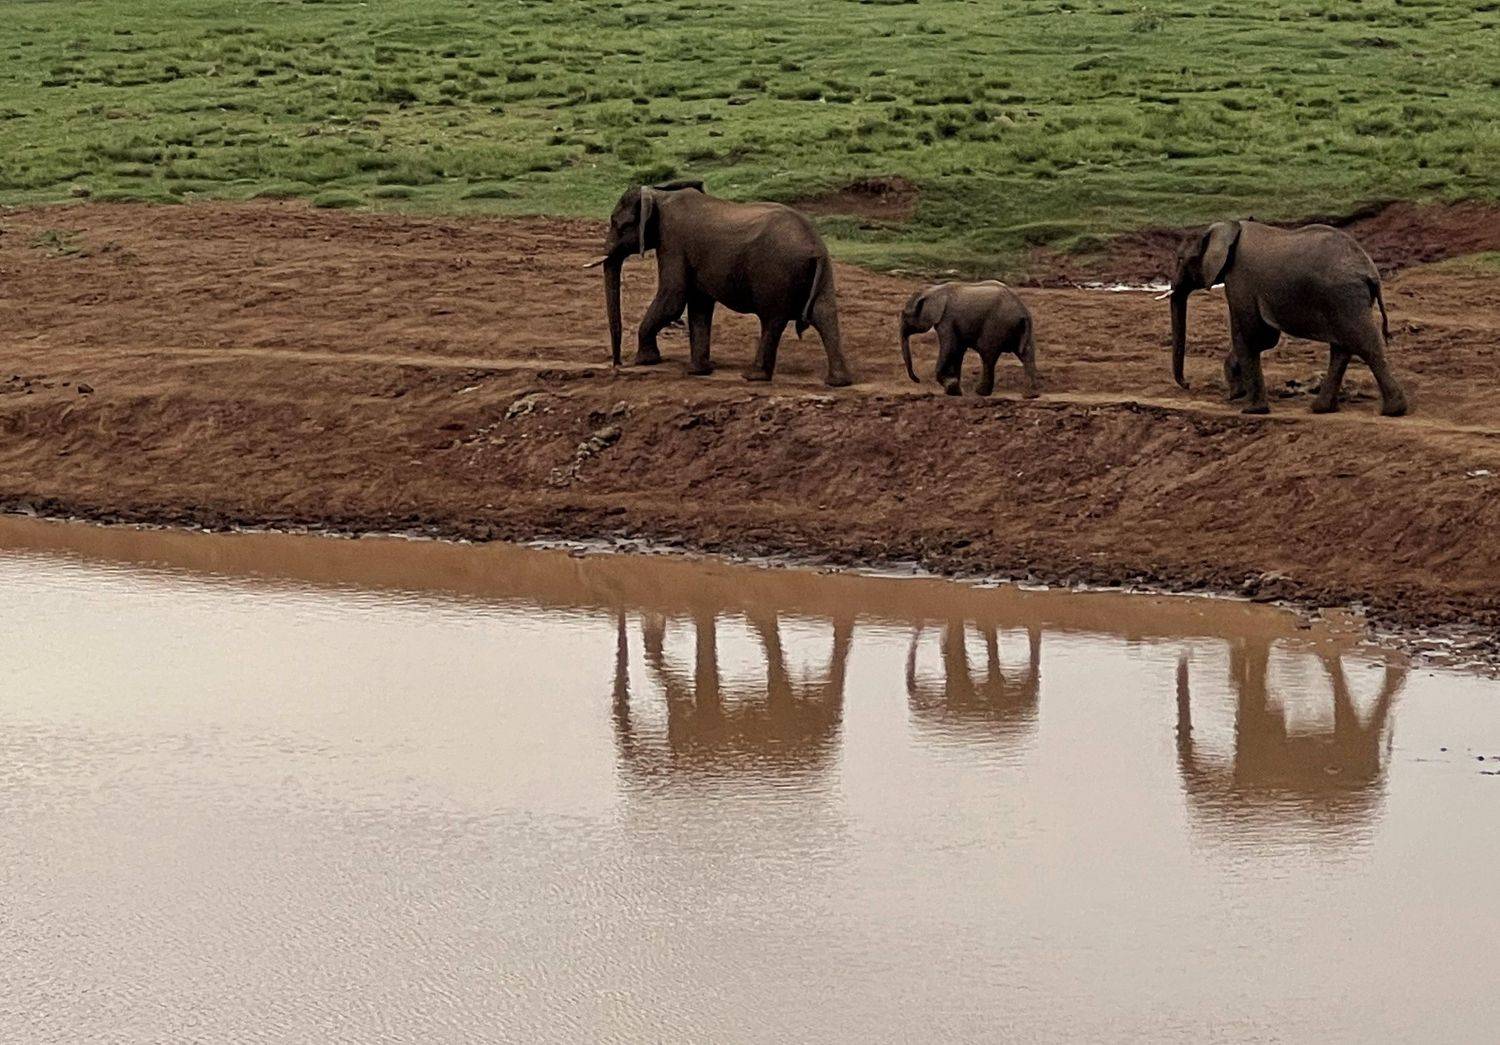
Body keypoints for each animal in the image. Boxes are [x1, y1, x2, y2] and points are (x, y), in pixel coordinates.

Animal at [585, 180, 853, 387]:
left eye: (617, 224)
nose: (618, 364)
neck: (659, 193)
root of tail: (814, 246)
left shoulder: (673, 241)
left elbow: (673, 298)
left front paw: (645, 361)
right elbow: (699, 305)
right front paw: (698, 371)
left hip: (776, 272)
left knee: (772, 320)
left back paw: (752, 377)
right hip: (820, 271)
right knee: (824, 314)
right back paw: (838, 382)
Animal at [899, 280, 1039, 397]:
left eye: (905, 315)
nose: (918, 380)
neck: (932, 290)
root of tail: (1023, 311)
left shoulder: (946, 320)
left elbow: (949, 347)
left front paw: (951, 387)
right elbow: (958, 351)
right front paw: (955, 391)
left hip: (996, 325)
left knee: (987, 354)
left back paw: (980, 392)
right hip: (1020, 328)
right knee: (1026, 353)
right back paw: (1030, 395)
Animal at [1169, 220, 1408, 416]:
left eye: (1180, 259)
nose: (1187, 384)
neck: (1227, 227)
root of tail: (1370, 271)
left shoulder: (1239, 281)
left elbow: (1252, 335)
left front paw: (1252, 410)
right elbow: (1261, 338)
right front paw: (1237, 393)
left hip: (1343, 297)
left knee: (1364, 344)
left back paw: (1393, 410)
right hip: (1342, 300)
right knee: (1342, 347)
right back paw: (1321, 408)